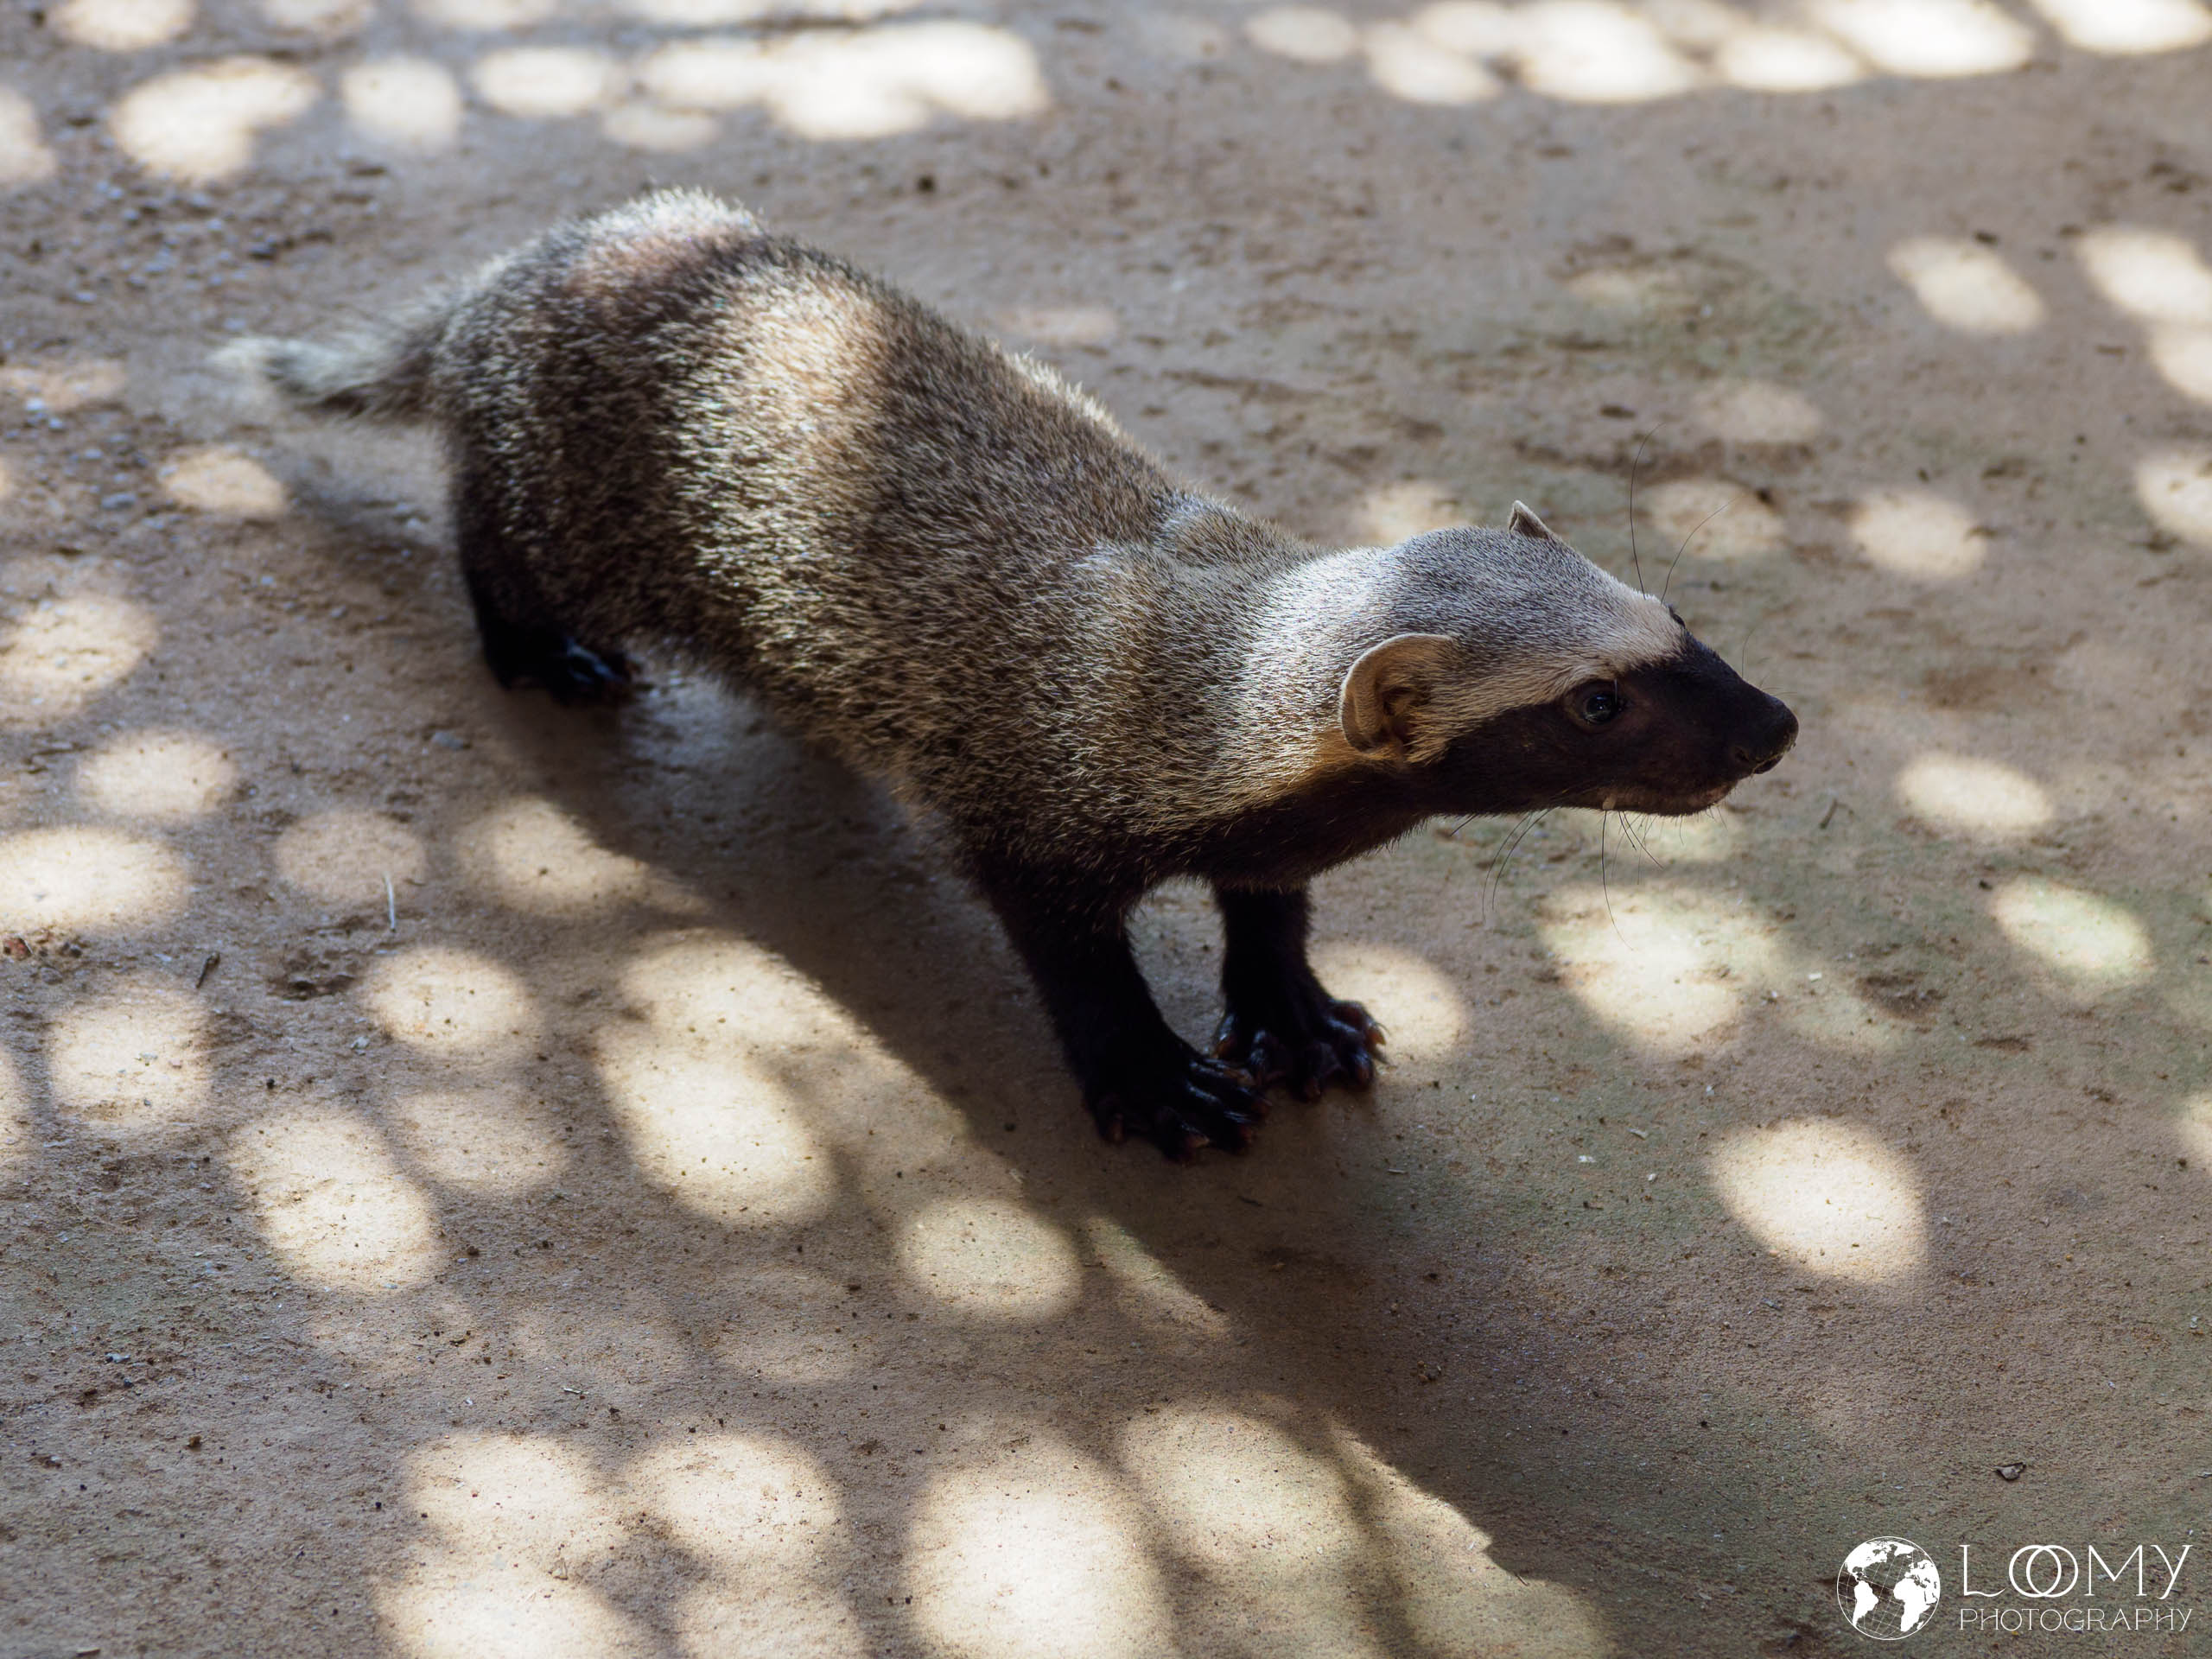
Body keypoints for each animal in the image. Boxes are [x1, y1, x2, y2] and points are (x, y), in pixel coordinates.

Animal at [230, 190, 1797, 1159]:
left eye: (1669, 611)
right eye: (1593, 702)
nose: (1773, 725)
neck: (1167, 656)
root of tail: (514, 275)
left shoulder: (1262, 828)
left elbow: (1270, 905)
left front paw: (1297, 1020)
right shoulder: (1027, 813)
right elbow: (1074, 961)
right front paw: (1161, 1086)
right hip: (562, 504)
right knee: (486, 535)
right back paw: (545, 653)